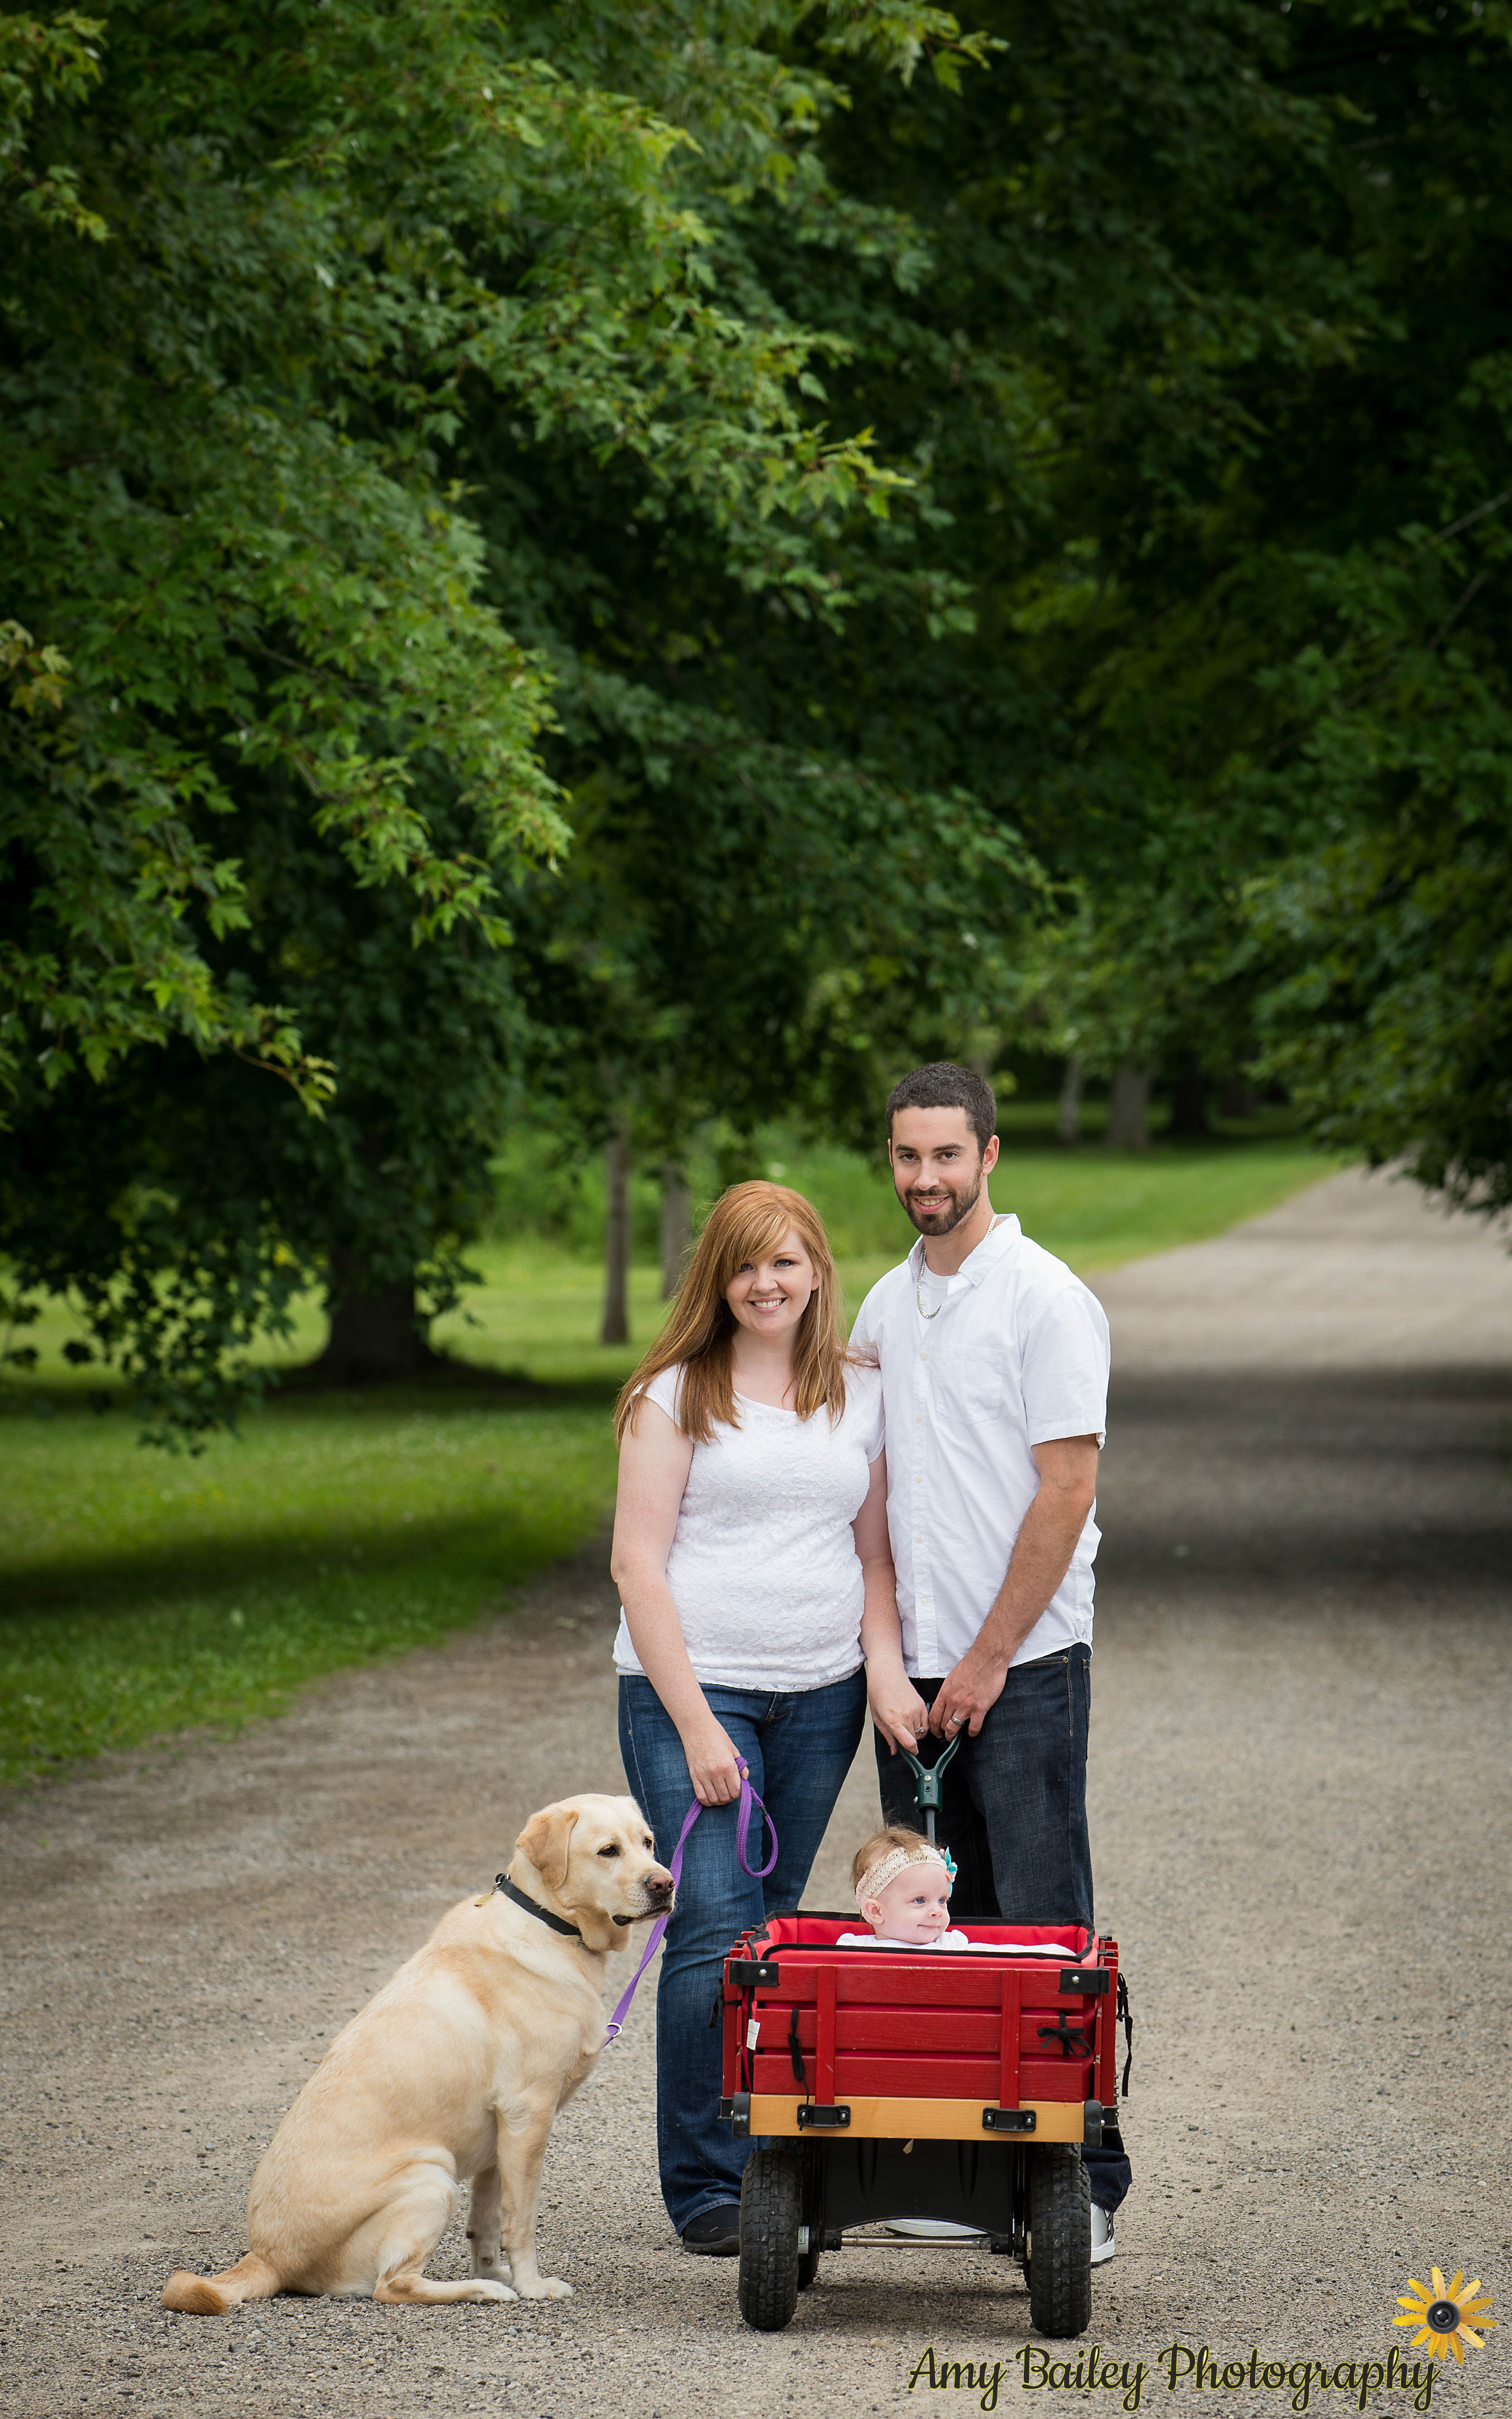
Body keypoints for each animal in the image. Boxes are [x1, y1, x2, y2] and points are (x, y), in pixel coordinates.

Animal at [161, 1793, 673, 2311]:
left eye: (648, 1842)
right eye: (608, 1850)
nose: (666, 1883)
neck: (549, 1922)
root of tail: (266, 2256)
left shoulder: (501, 2134)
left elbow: (488, 2220)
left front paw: (498, 2270)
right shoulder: (528, 2114)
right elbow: (521, 2217)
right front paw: (530, 2285)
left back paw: (488, 2283)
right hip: (432, 2175)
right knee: (393, 2285)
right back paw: (481, 2291)